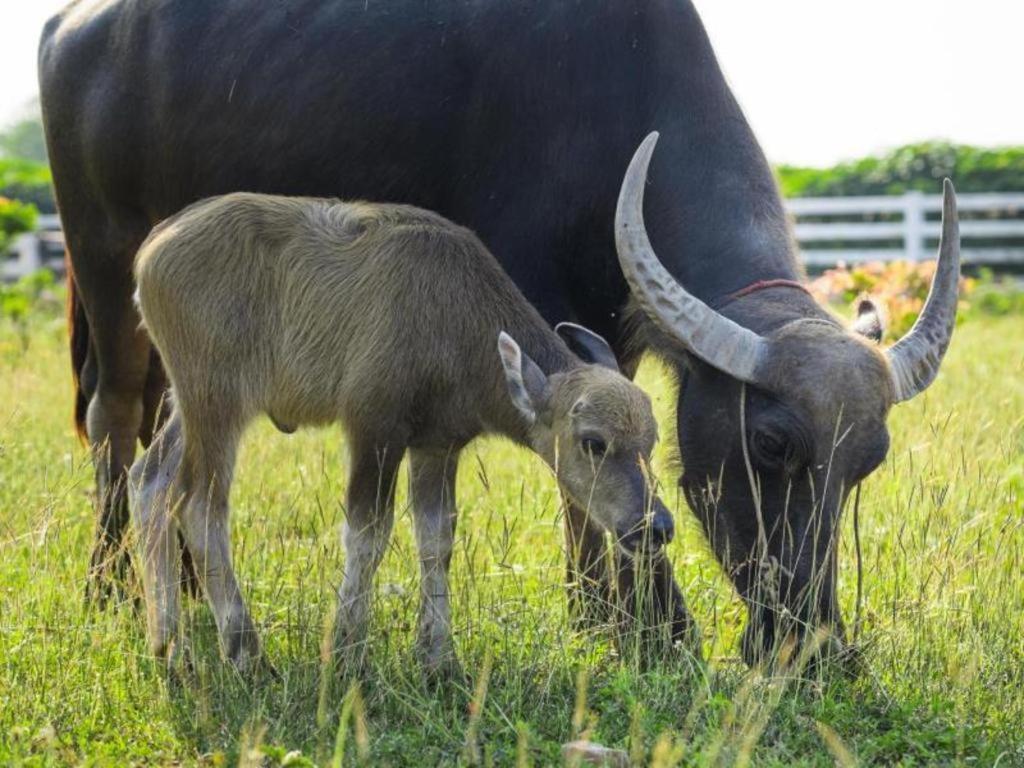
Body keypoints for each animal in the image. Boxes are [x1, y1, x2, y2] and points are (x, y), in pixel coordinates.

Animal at [128, 193, 671, 671]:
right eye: (593, 442)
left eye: (651, 442)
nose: (657, 526)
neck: (455, 320)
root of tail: (155, 244)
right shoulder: (373, 427)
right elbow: (368, 533)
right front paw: (347, 650)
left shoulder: (438, 444)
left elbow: (436, 537)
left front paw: (437, 656)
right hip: (216, 401)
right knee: (200, 506)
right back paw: (246, 653)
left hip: (186, 405)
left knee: (149, 481)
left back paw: (167, 644)